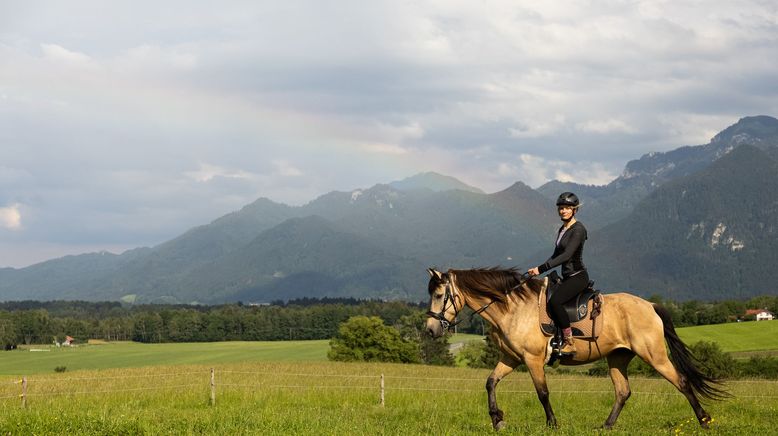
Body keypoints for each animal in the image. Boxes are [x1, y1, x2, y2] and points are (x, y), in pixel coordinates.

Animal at [422, 268, 724, 430]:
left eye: (439, 295)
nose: (430, 329)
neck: (512, 308)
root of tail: (650, 305)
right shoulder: (510, 358)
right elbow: (490, 382)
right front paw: (497, 420)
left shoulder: (532, 360)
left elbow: (542, 393)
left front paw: (552, 424)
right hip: (618, 358)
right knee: (623, 391)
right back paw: (606, 426)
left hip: (654, 355)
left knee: (681, 381)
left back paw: (704, 419)